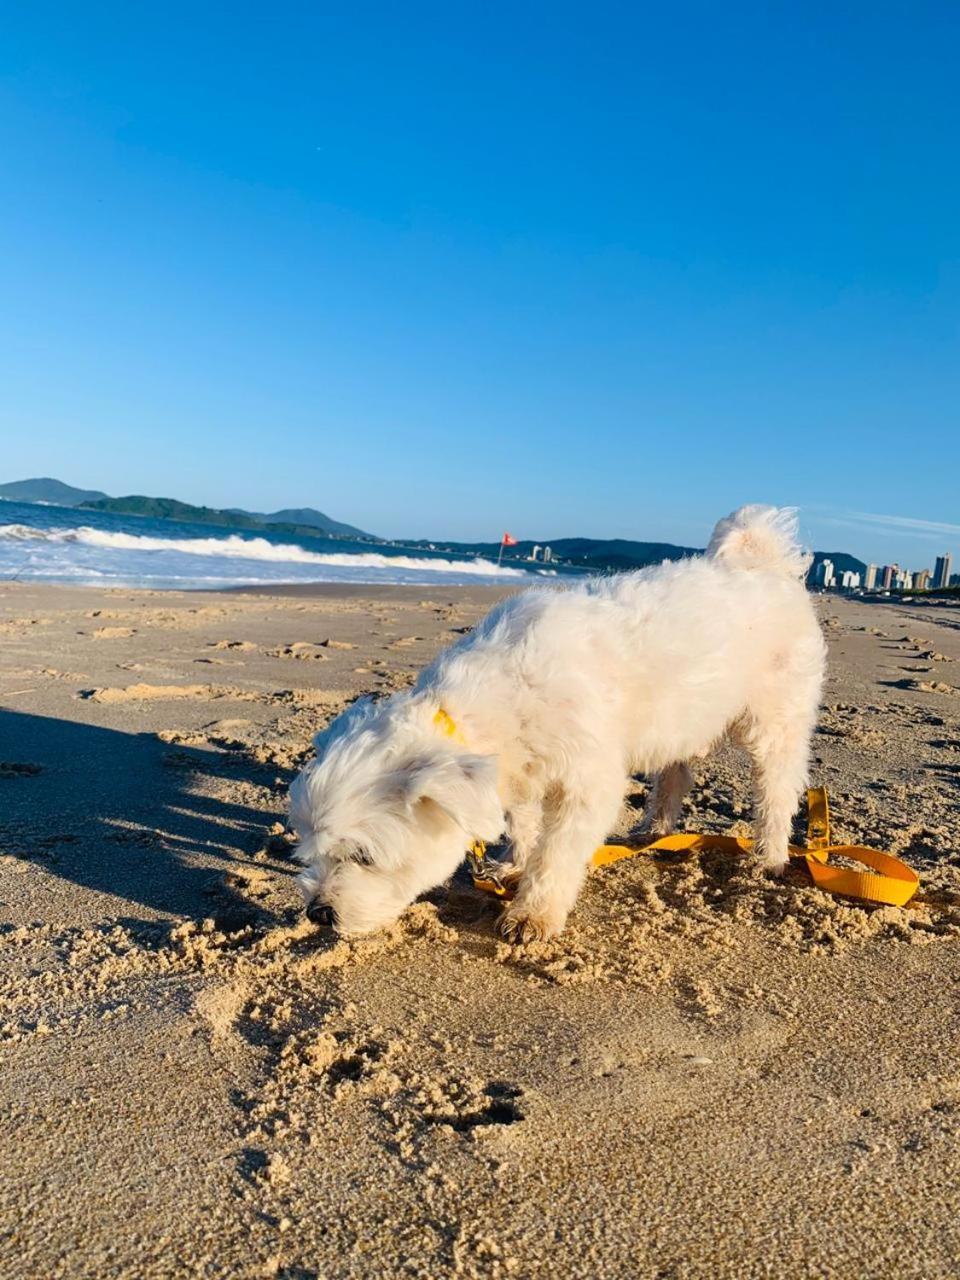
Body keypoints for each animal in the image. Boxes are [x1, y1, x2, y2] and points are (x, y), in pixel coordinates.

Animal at [291, 506, 829, 942]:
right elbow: (526, 825)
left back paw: (768, 856)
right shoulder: (526, 771)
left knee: (778, 786)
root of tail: (766, 564)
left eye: (363, 857)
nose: (318, 914)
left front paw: (534, 912)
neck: (498, 695)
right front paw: (516, 865)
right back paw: (654, 828)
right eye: (312, 852)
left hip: (775, 719)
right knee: (675, 770)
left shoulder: (586, 780)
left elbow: (557, 851)